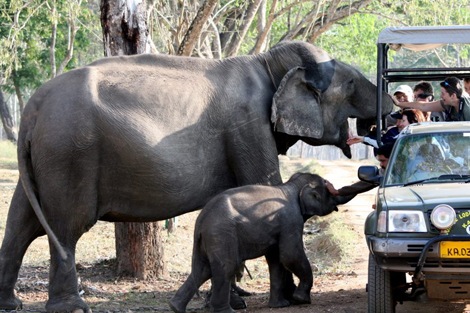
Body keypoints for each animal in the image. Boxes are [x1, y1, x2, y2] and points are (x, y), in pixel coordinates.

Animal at [170, 172, 352, 310]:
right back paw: (227, 311)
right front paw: (301, 299)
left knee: (202, 269)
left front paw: (280, 306)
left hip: (208, 239)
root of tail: (201, 220)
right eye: (329, 192)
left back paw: (175, 307)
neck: (292, 186)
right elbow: (290, 255)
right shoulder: (291, 221)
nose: (336, 191)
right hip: (221, 234)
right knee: (226, 267)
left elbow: (276, 260)